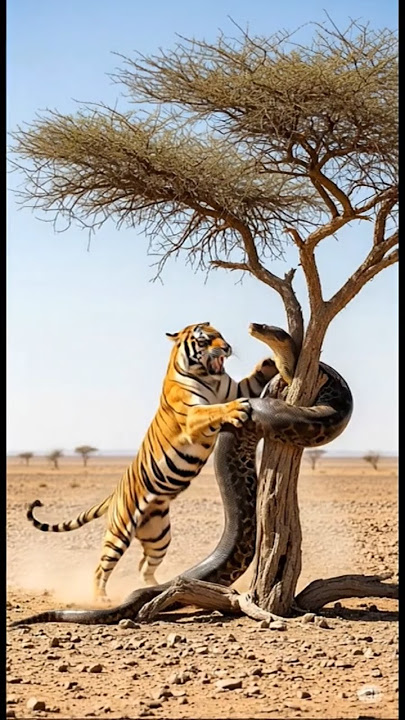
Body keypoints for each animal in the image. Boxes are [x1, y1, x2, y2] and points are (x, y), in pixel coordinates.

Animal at [26, 322, 274, 599]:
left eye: (221, 336)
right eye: (204, 340)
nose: (227, 348)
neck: (209, 377)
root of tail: (114, 494)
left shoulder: (234, 388)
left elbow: (251, 381)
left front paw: (270, 361)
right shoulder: (192, 415)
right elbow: (214, 410)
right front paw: (236, 409)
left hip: (159, 537)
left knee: (143, 566)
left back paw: (159, 586)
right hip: (119, 533)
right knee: (101, 568)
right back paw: (101, 597)